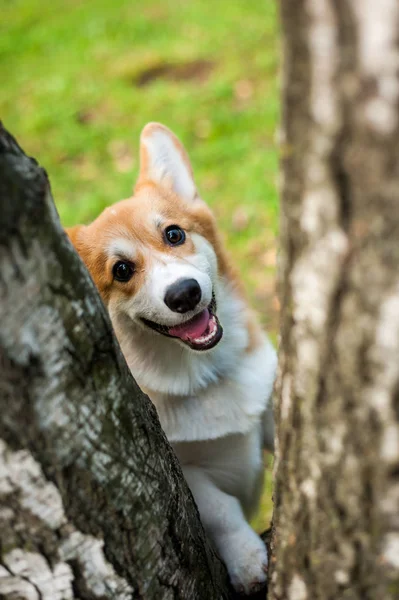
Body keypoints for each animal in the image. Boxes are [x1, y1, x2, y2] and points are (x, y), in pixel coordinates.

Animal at [66, 123, 278, 596]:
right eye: (122, 270)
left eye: (175, 235)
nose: (184, 294)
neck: (205, 376)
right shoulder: (183, 473)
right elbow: (219, 507)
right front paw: (246, 560)